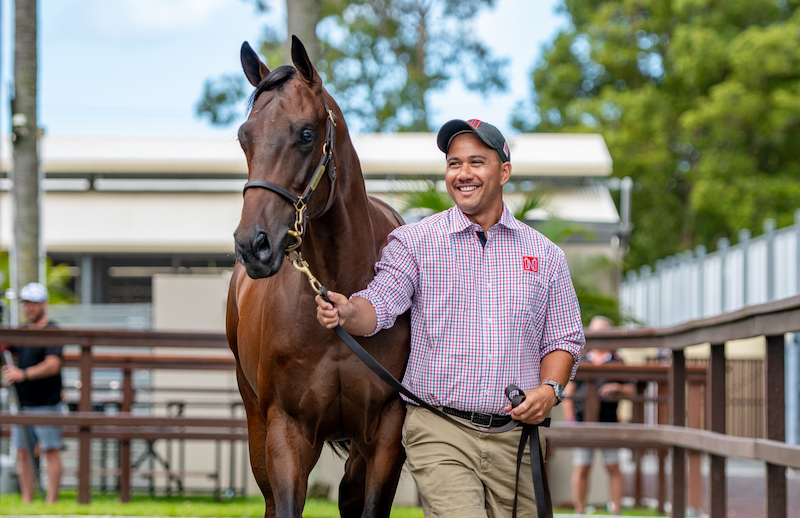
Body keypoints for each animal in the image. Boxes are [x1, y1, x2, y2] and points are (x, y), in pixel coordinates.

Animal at [227, 36, 410, 518]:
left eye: (306, 134)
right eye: (244, 137)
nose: (253, 246)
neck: (343, 287)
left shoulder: (387, 432)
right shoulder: (286, 433)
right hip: (256, 423)